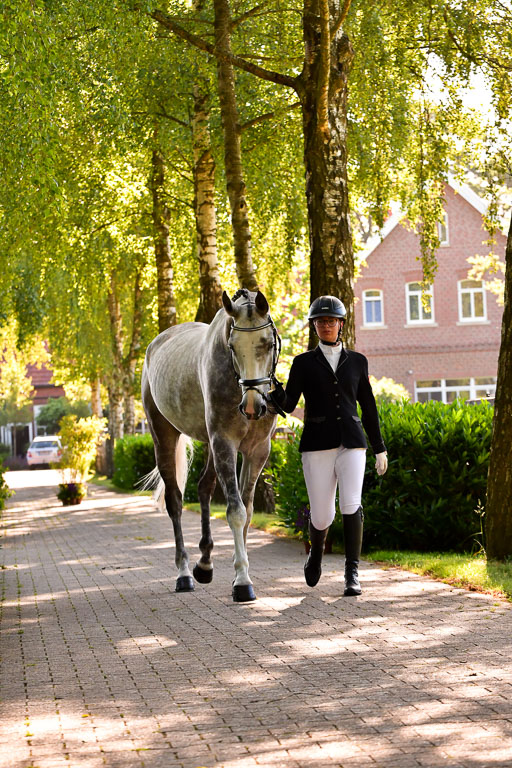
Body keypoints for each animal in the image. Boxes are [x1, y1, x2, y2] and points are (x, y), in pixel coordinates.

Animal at [141, 288, 282, 602]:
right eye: (232, 346)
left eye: (267, 343)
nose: (253, 406)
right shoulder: (224, 443)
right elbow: (236, 511)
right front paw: (242, 581)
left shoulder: (257, 451)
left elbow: (248, 511)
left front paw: (238, 571)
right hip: (164, 436)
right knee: (175, 501)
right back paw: (184, 574)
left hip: (209, 443)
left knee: (204, 487)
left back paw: (204, 564)